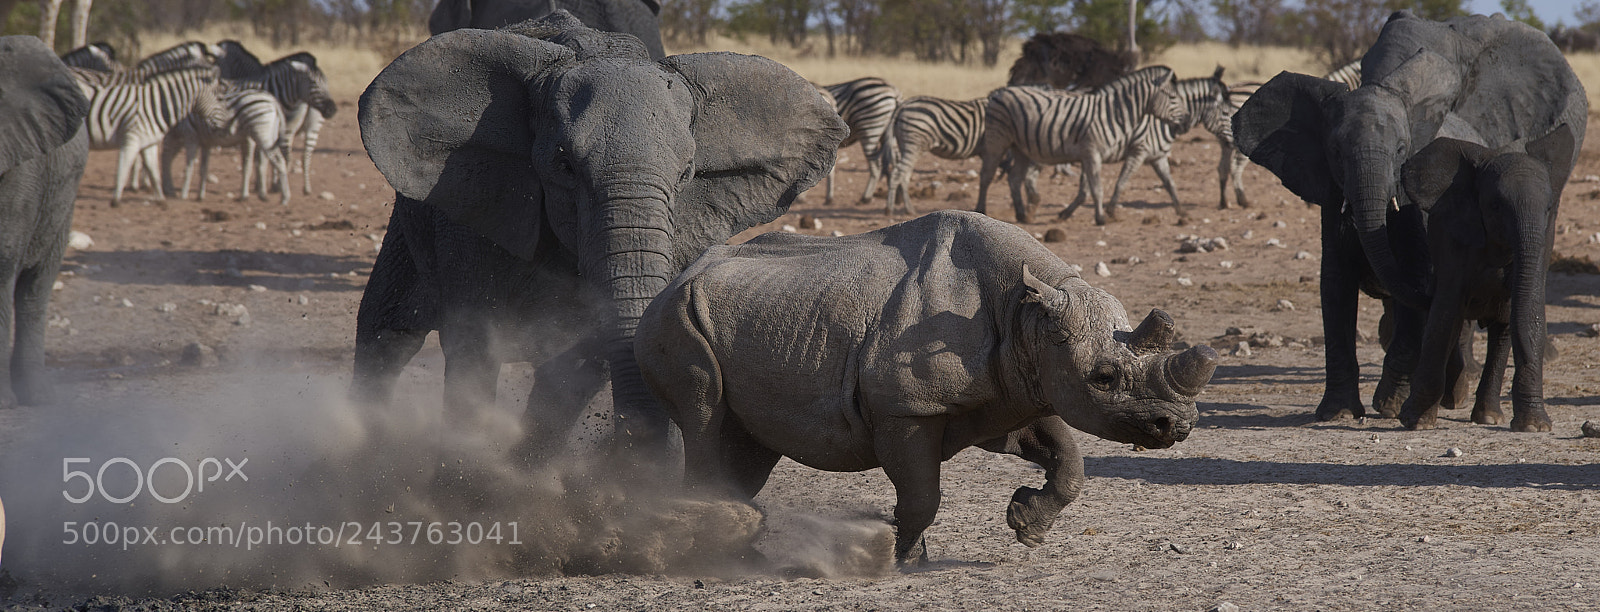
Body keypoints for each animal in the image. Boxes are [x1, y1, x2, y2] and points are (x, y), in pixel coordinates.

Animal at [358, 12, 847, 461]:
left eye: (686, 174)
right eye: (564, 166)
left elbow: (584, 359)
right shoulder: (472, 216)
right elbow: (473, 341)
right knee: (389, 334)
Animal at [635, 210, 1218, 564]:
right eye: (1104, 377)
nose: (1179, 425)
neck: (1028, 315)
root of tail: (677, 276)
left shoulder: (1019, 391)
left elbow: (1068, 460)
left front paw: (1027, 525)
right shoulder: (906, 409)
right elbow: (922, 493)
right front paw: (900, 556)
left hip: (734, 318)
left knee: (747, 447)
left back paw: (743, 547)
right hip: (674, 322)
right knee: (704, 417)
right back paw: (721, 552)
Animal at [1395, 125, 1578, 432]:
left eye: (1548, 208)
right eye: (1494, 206)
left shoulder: (1546, 237)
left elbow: (1528, 309)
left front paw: (1534, 427)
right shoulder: (1453, 236)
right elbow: (1444, 315)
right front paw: (1415, 421)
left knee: (1502, 328)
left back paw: (1489, 416)